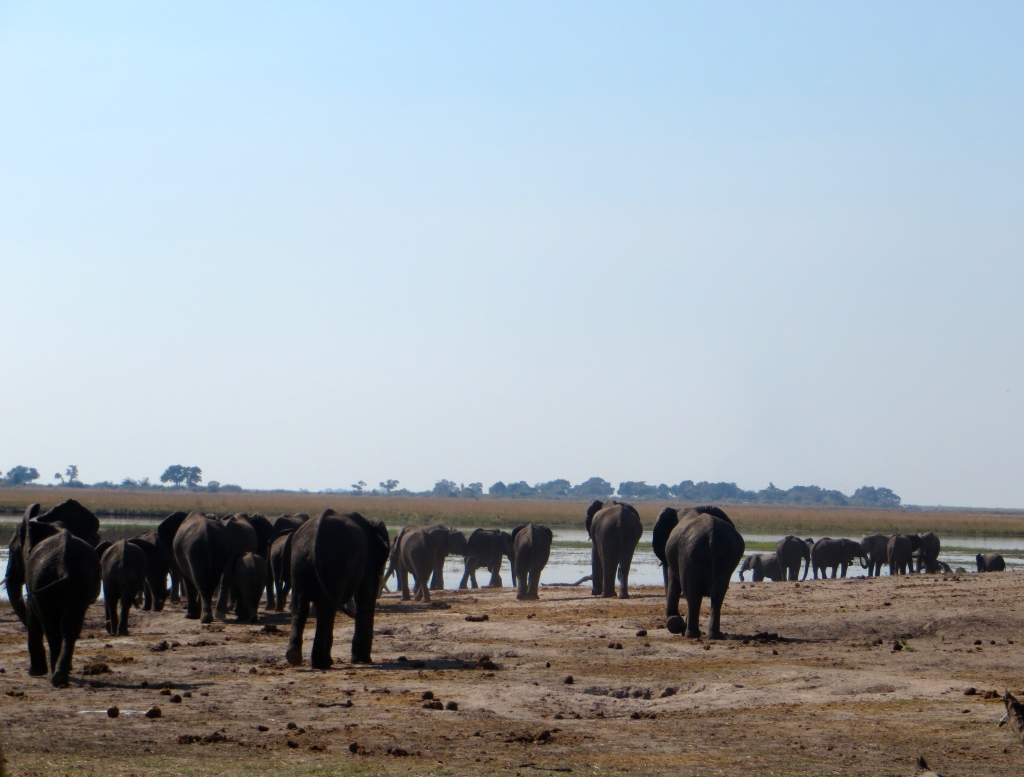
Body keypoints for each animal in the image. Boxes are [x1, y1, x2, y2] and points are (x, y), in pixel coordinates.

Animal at [4, 503, 100, 687]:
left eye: (12, 551)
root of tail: (65, 565)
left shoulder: (33, 582)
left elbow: (32, 613)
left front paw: (35, 673)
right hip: (80, 580)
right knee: (70, 626)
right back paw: (61, 675)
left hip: (44, 578)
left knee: (51, 627)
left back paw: (53, 676)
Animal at [286, 509, 389, 667]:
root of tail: (316, 535)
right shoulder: (368, 559)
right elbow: (365, 597)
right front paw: (362, 660)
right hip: (334, 564)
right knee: (326, 608)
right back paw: (322, 663)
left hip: (299, 561)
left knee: (301, 605)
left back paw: (295, 657)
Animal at [655, 503, 745, 638]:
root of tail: (712, 536)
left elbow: (674, 580)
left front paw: (676, 624)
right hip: (724, 554)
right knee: (718, 594)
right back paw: (714, 635)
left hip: (690, 554)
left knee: (692, 594)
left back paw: (691, 634)